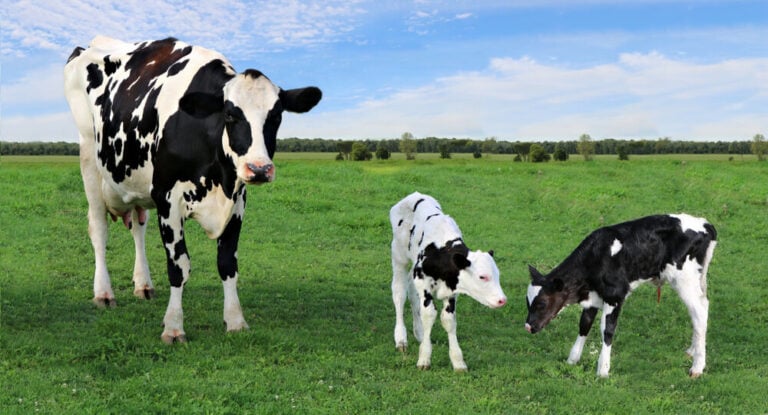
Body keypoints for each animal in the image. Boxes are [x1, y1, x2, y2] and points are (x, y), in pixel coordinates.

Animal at [63, 36, 321, 343]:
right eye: (230, 115)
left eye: (277, 116)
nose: (259, 169)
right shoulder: (168, 200)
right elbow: (179, 267)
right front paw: (174, 326)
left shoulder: (237, 202)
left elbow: (227, 264)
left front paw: (235, 320)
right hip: (89, 160)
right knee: (99, 229)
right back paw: (104, 293)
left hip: (137, 187)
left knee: (138, 229)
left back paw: (143, 285)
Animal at [390, 192, 507, 371]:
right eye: (482, 276)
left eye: (497, 275)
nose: (502, 300)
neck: (442, 252)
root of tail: (414, 195)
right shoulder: (424, 284)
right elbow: (429, 315)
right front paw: (424, 358)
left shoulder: (452, 291)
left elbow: (448, 320)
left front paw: (458, 362)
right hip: (399, 256)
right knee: (399, 294)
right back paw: (401, 339)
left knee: (412, 292)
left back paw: (419, 333)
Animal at [525, 214, 717, 378]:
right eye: (528, 302)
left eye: (541, 303)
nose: (527, 326)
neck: (597, 256)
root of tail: (705, 224)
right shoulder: (593, 297)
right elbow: (584, 324)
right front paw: (572, 359)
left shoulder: (615, 296)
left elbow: (607, 330)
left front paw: (603, 370)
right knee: (699, 310)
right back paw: (692, 351)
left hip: (685, 280)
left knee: (699, 312)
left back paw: (697, 367)